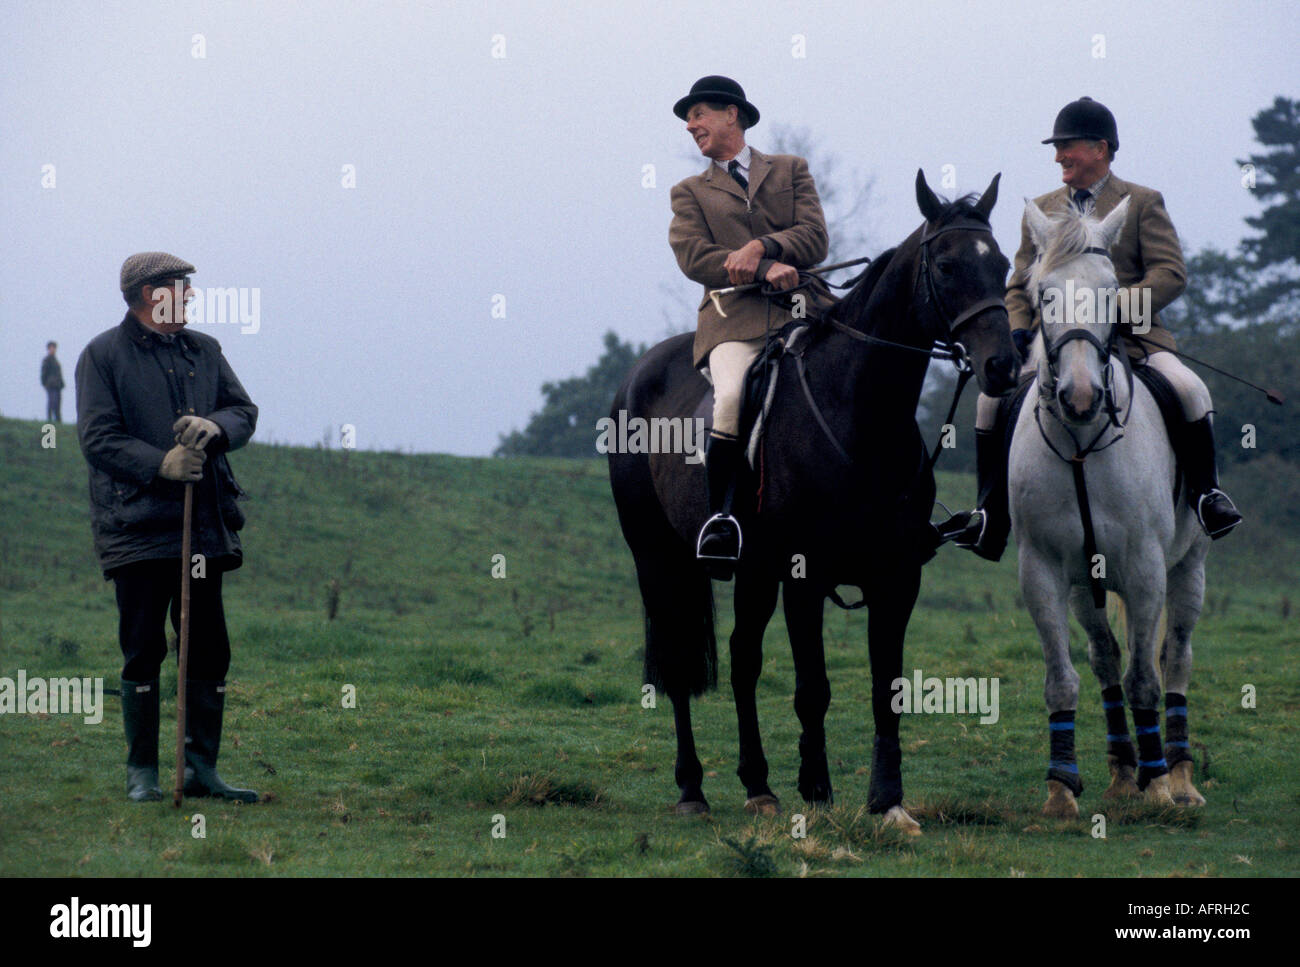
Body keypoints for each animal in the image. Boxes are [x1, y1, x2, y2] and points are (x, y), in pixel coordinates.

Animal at [613, 171, 1019, 831]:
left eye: (1002, 263)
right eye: (948, 265)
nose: (1003, 365)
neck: (859, 410)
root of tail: (639, 372)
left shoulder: (897, 578)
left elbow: (887, 688)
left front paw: (887, 801)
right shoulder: (804, 578)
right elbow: (814, 689)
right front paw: (818, 789)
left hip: (752, 571)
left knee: (743, 660)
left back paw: (758, 786)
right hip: (659, 561)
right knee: (679, 665)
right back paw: (692, 789)